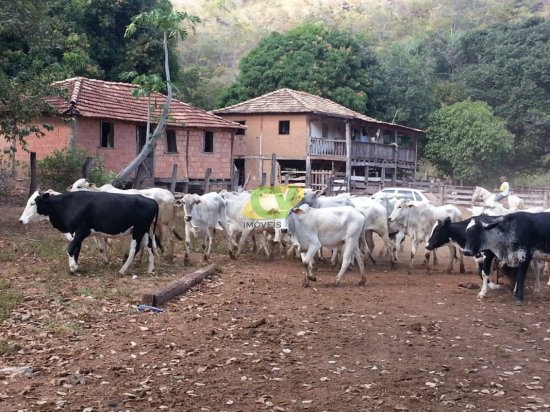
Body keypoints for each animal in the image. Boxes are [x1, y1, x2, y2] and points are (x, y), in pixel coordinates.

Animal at [20, 191, 158, 276]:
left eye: (33, 203)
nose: (21, 220)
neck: (67, 205)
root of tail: (150, 200)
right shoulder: (75, 233)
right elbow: (76, 249)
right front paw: (74, 267)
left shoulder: (82, 230)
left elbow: (71, 248)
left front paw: (73, 267)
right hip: (144, 230)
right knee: (150, 246)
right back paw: (150, 269)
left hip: (139, 230)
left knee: (134, 249)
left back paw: (123, 270)